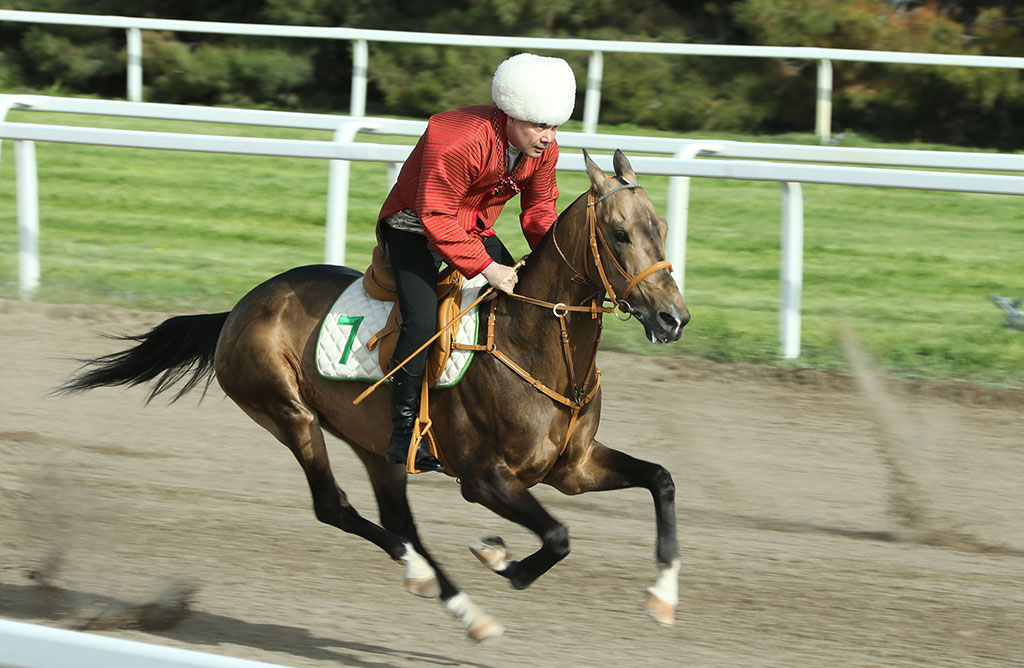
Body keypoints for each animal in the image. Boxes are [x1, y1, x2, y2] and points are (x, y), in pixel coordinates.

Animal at [61, 148, 688, 639]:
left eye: (660, 226)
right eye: (620, 234)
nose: (673, 317)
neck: (532, 344)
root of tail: (241, 307)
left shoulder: (571, 467)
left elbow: (660, 479)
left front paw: (663, 597)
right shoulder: (484, 479)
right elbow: (557, 536)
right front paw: (500, 558)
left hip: (372, 442)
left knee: (397, 520)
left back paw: (454, 600)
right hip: (288, 412)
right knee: (334, 506)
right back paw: (430, 580)